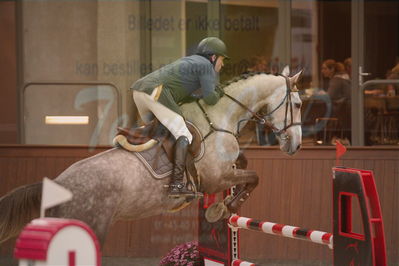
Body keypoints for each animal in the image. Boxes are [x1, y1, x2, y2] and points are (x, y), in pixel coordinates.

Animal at [0, 66, 304, 245]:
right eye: (299, 104)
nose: (297, 145)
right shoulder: (215, 179)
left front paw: (225, 204)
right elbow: (254, 177)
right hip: (91, 226)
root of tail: (57, 185)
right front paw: (223, 207)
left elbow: (246, 166)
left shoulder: (224, 171)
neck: (219, 116)